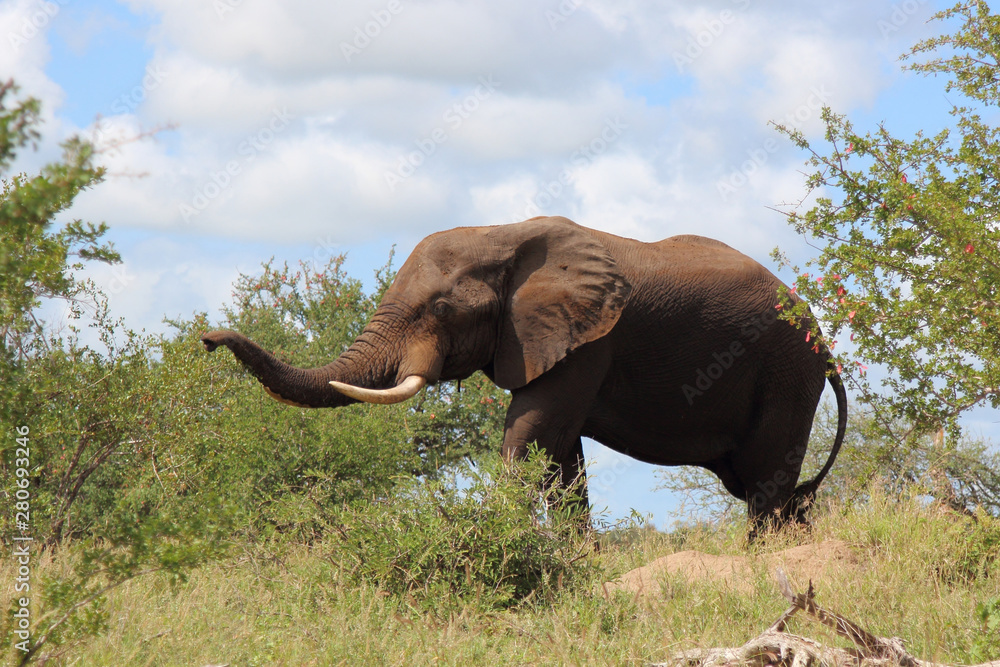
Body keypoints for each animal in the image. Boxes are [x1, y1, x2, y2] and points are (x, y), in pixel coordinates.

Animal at [202, 215, 846, 528]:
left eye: (440, 309)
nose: (208, 338)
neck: (503, 235)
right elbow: (560, 456)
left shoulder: (591, 338)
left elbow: (529, 432)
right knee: (770, 489)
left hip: (787, 371)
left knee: (765, 484)